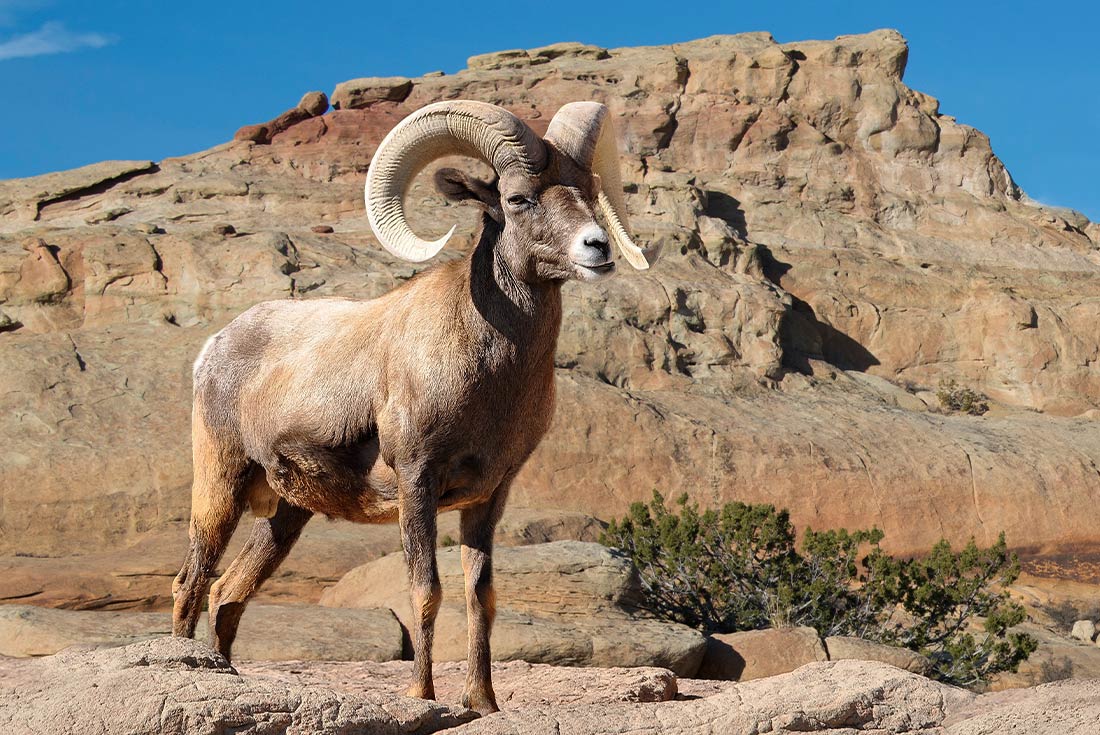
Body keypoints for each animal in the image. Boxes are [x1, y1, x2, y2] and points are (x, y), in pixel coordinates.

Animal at [171, 97, 651, 712]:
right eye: (519, 198)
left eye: (589, 190)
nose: (598, 248)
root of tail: (214, 347)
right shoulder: (417, 482)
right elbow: (426, 590)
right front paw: (423, 696)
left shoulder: (489, 496)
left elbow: (479, 596)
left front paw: (482, 702)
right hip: (221, 483)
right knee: (192, 582)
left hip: (286, 513)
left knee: (229, 593)